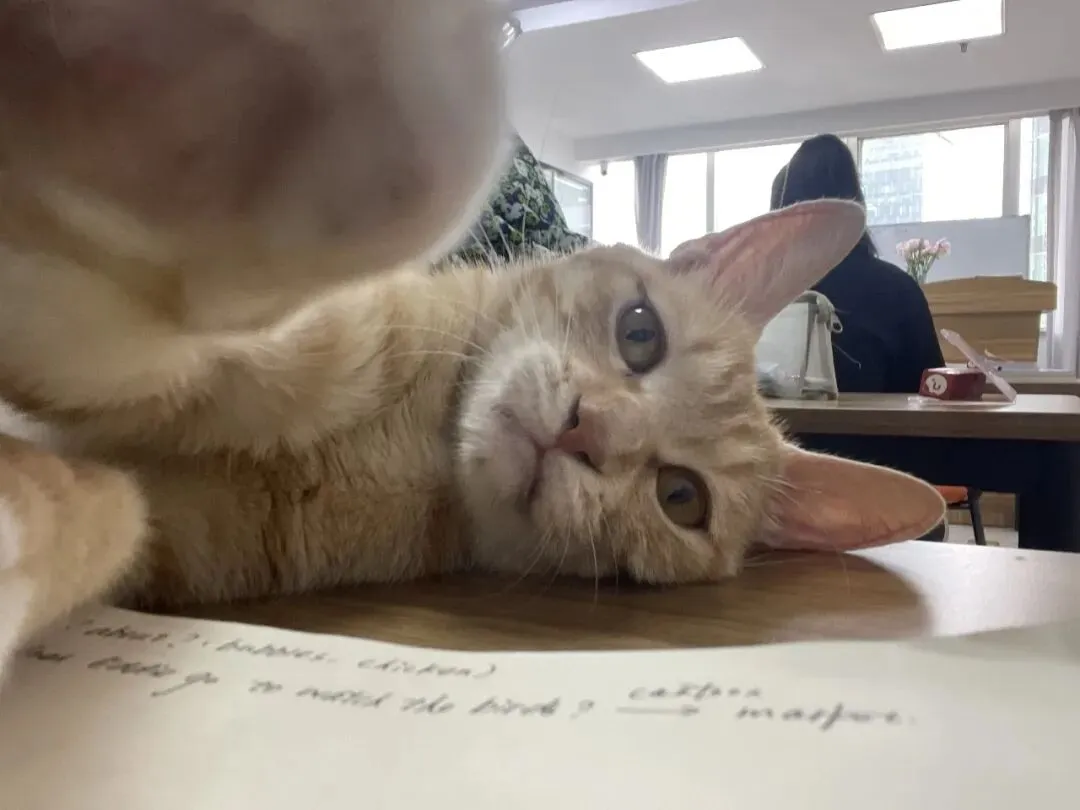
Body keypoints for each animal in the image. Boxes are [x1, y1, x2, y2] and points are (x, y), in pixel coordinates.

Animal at [0, 0, 947, 683]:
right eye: (639, 334)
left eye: (682, 499)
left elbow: (102, 512)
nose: (587, 430)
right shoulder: (337, 326)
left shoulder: (178, 531)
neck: (415, 444)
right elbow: (298, 337)